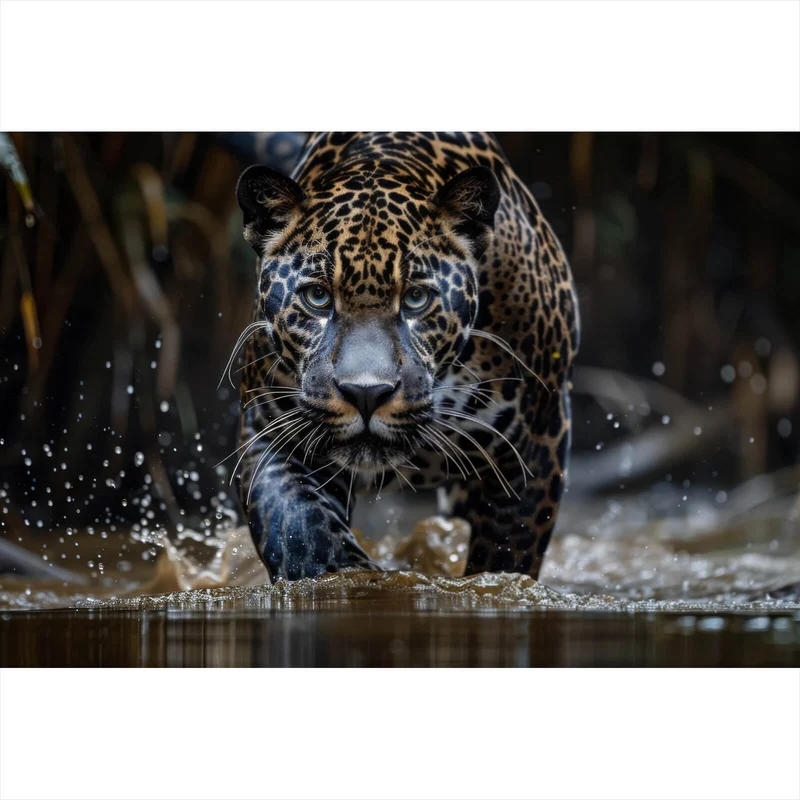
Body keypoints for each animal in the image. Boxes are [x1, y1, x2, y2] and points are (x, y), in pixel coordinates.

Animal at [231, 132, 579, 582]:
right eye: (317, 296)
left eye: (416, 298)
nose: (366, 394)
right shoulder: (273, 433)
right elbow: (301, 535)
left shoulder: (534, 447)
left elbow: (505, 560)